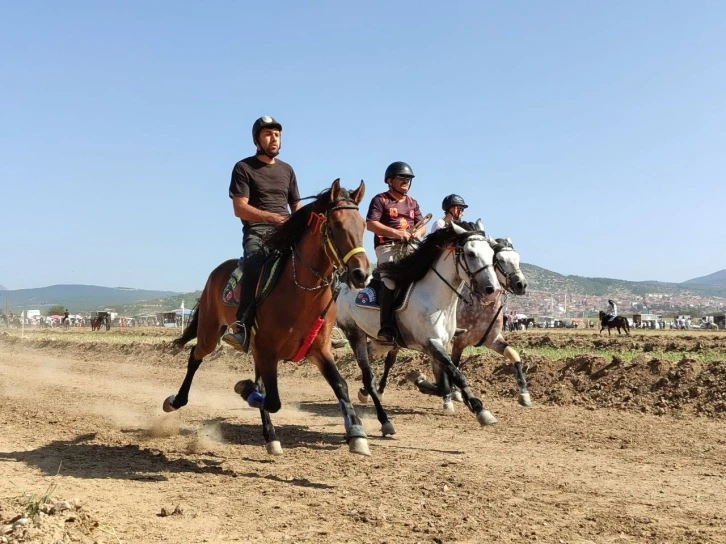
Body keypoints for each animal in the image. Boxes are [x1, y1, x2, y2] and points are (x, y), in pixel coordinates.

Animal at [167, 181, 372, 456]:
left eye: (363, 225)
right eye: (336, 225)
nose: (362, 274)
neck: (301, 293)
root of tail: (216, 272)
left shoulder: (317, 349)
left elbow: (340, 385)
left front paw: (357, 434)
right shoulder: (267, 350)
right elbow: (272, 399)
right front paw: (244, 389)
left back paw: (270, 435)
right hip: (211, 332)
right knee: (195, 357)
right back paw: (176, 400)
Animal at [338, 219, 504, 436]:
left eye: (492, 254)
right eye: (470, 253)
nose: (492, 290)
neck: (437, 299)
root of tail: (343, 286)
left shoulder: (439, 345)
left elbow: (444, 385)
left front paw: (419, 380)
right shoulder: (431, 342)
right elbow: (457, 374)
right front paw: (480, 409)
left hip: (380, 341)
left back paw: (364, 394)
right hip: (354, 333)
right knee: (368, 375)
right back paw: (384, 420)